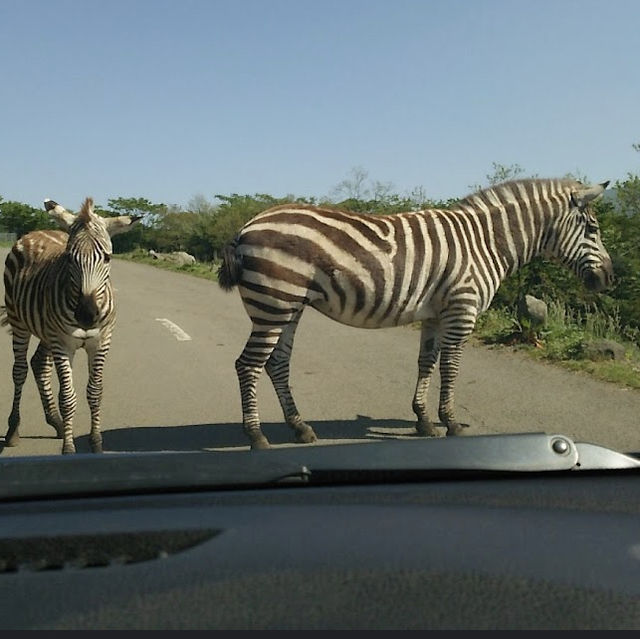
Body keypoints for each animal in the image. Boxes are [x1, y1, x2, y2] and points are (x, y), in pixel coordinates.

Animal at [1, 198, 141, 452]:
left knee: (38, 364)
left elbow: (95, 393)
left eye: (107, 258)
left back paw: (55, 422)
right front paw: (69, 450)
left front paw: (96, 445)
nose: (86, 315)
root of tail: (35, 232)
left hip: (46, 331)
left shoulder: (100, 342)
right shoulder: (63, 344)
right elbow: (68, 397)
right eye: (68, 259)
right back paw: (13, 430)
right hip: (20, 323)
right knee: (20, 370)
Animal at [220, 178, 616, 450]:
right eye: (593, 229)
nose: (610, 279)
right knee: (248, 365)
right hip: (274, 303)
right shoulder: (462, 308)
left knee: (276, 363)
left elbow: (426, 362)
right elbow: (451, 366)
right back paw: (256, 435)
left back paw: (299, 427)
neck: (486, 242)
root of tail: (247, 226)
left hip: (288, 306)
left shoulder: (435, 313)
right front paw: (451, 422)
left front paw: (423, 420)